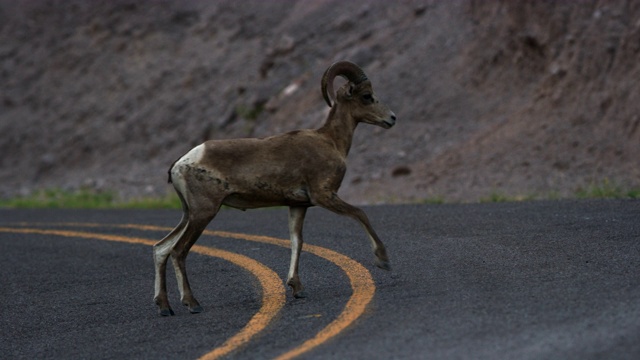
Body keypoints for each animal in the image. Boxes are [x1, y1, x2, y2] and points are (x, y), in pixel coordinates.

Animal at [154, 61, 396, 316]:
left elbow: (297, 242)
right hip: (203, 213)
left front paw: (297, 288)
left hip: (188, 214)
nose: (392, 118)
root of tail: (180, 164)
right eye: (367, 96)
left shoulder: (298, 206)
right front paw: (383, 260)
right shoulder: (324, 196)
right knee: (178, 251)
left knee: (161, 249)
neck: (331, 142)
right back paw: (192, 303)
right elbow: (360, 213)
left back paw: (164, 307)